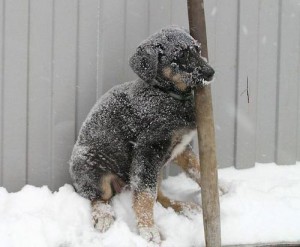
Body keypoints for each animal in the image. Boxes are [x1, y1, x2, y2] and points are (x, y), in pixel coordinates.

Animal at [68, 26, 213, 243]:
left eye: (197, 49)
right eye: (180, 55)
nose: (211, 72)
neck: (165, 94)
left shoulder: (180, 147)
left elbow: (195, 167)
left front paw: (221, 188)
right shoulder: (148, 150)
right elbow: (145, 194)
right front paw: (149, 231)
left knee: (158, 196)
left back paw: (185, 207)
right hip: (90, 166)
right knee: (98, 197)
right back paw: (104, 216)